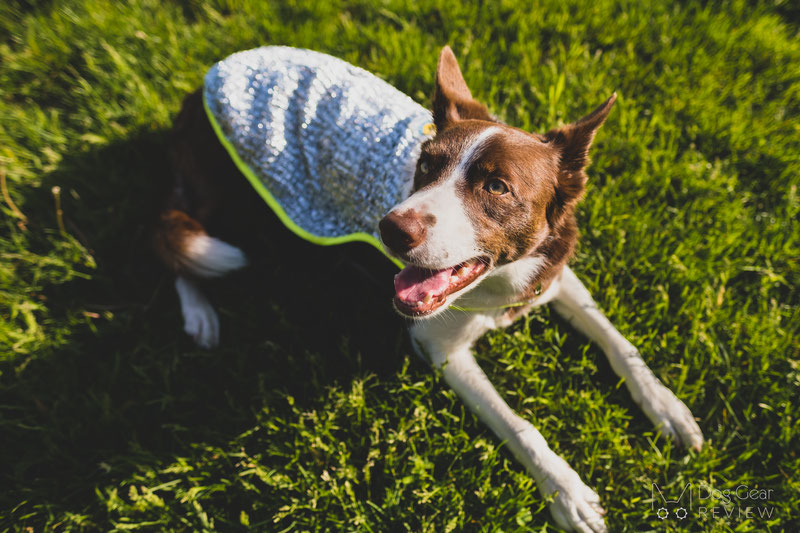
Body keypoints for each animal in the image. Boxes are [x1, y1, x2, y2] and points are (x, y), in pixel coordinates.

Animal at [153, 46, 704, 532]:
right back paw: (198, 311)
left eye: (497, 186)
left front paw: (667, 407)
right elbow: (517, 425)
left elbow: (618, 342)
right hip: (229, 201)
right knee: (171, 238)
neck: (500, 284)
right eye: (425, 165)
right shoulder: (439, 349)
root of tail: (203, 86)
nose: (390, 229)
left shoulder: (553, 277)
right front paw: (565, 490)